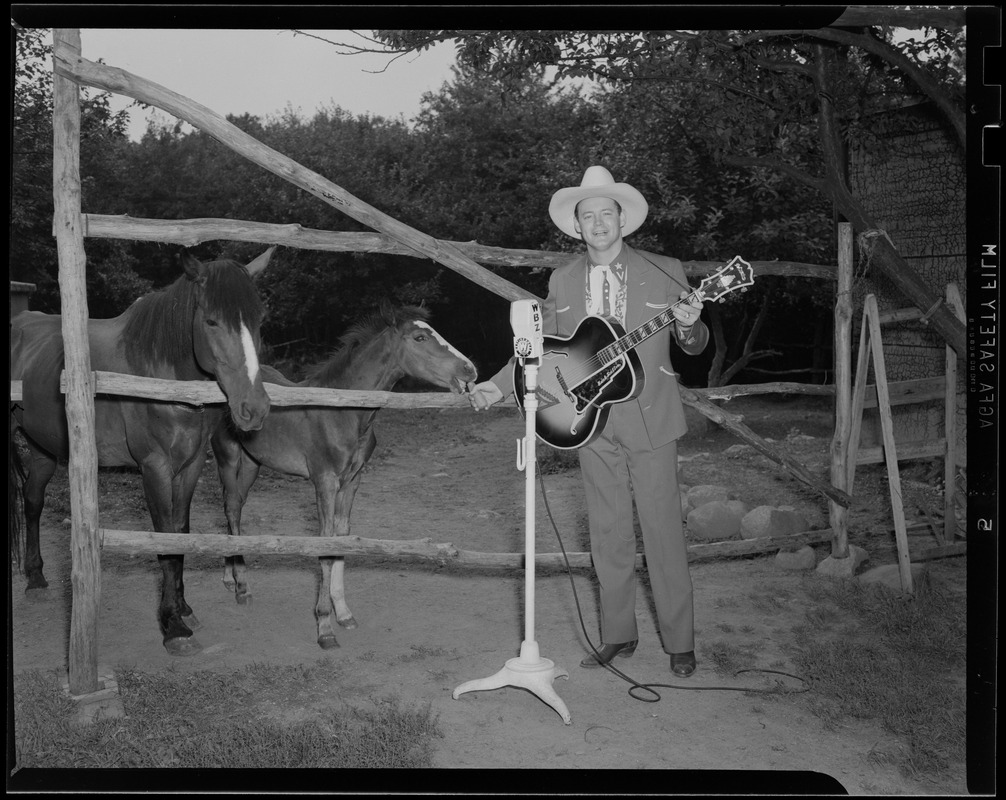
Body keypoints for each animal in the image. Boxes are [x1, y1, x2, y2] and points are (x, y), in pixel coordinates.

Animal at [9, 250, 275, 656]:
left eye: (260, 321)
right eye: (212, 320)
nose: (254, 408)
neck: (162, 376)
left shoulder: (189, 467)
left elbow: (180, 533)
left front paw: (184, 609)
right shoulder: (155, 469)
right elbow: (164, 537)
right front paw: (174, 627)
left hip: (43, 450)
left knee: (33, 501)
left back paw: (36, 578)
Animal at [210, 303, 476, 648]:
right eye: (419, 337)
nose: (470, 369)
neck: (344, 412)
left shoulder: (352, 481)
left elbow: (342, 540)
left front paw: (344, 614)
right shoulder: (324, 481)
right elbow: (324, 546)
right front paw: (324, 629)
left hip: (253, 462)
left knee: (236, 506)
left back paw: (230, 578)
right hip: (227, 457)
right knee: (230, 507)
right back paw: (242, 587)